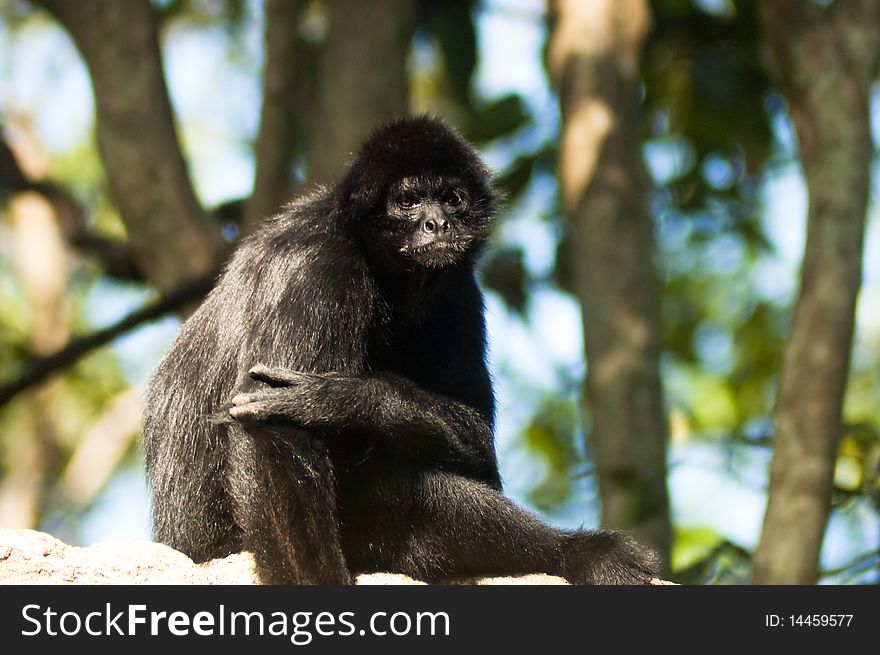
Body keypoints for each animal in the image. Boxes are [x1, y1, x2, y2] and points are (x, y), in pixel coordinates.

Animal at [141, 116, 656, 584]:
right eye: (408, 201)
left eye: (452, 199)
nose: (437, 223)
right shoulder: (316, 263)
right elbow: (275, 436)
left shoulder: (458, 289)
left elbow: (480, 446)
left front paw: (345, 398)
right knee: (412, 490)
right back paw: (582, 553)